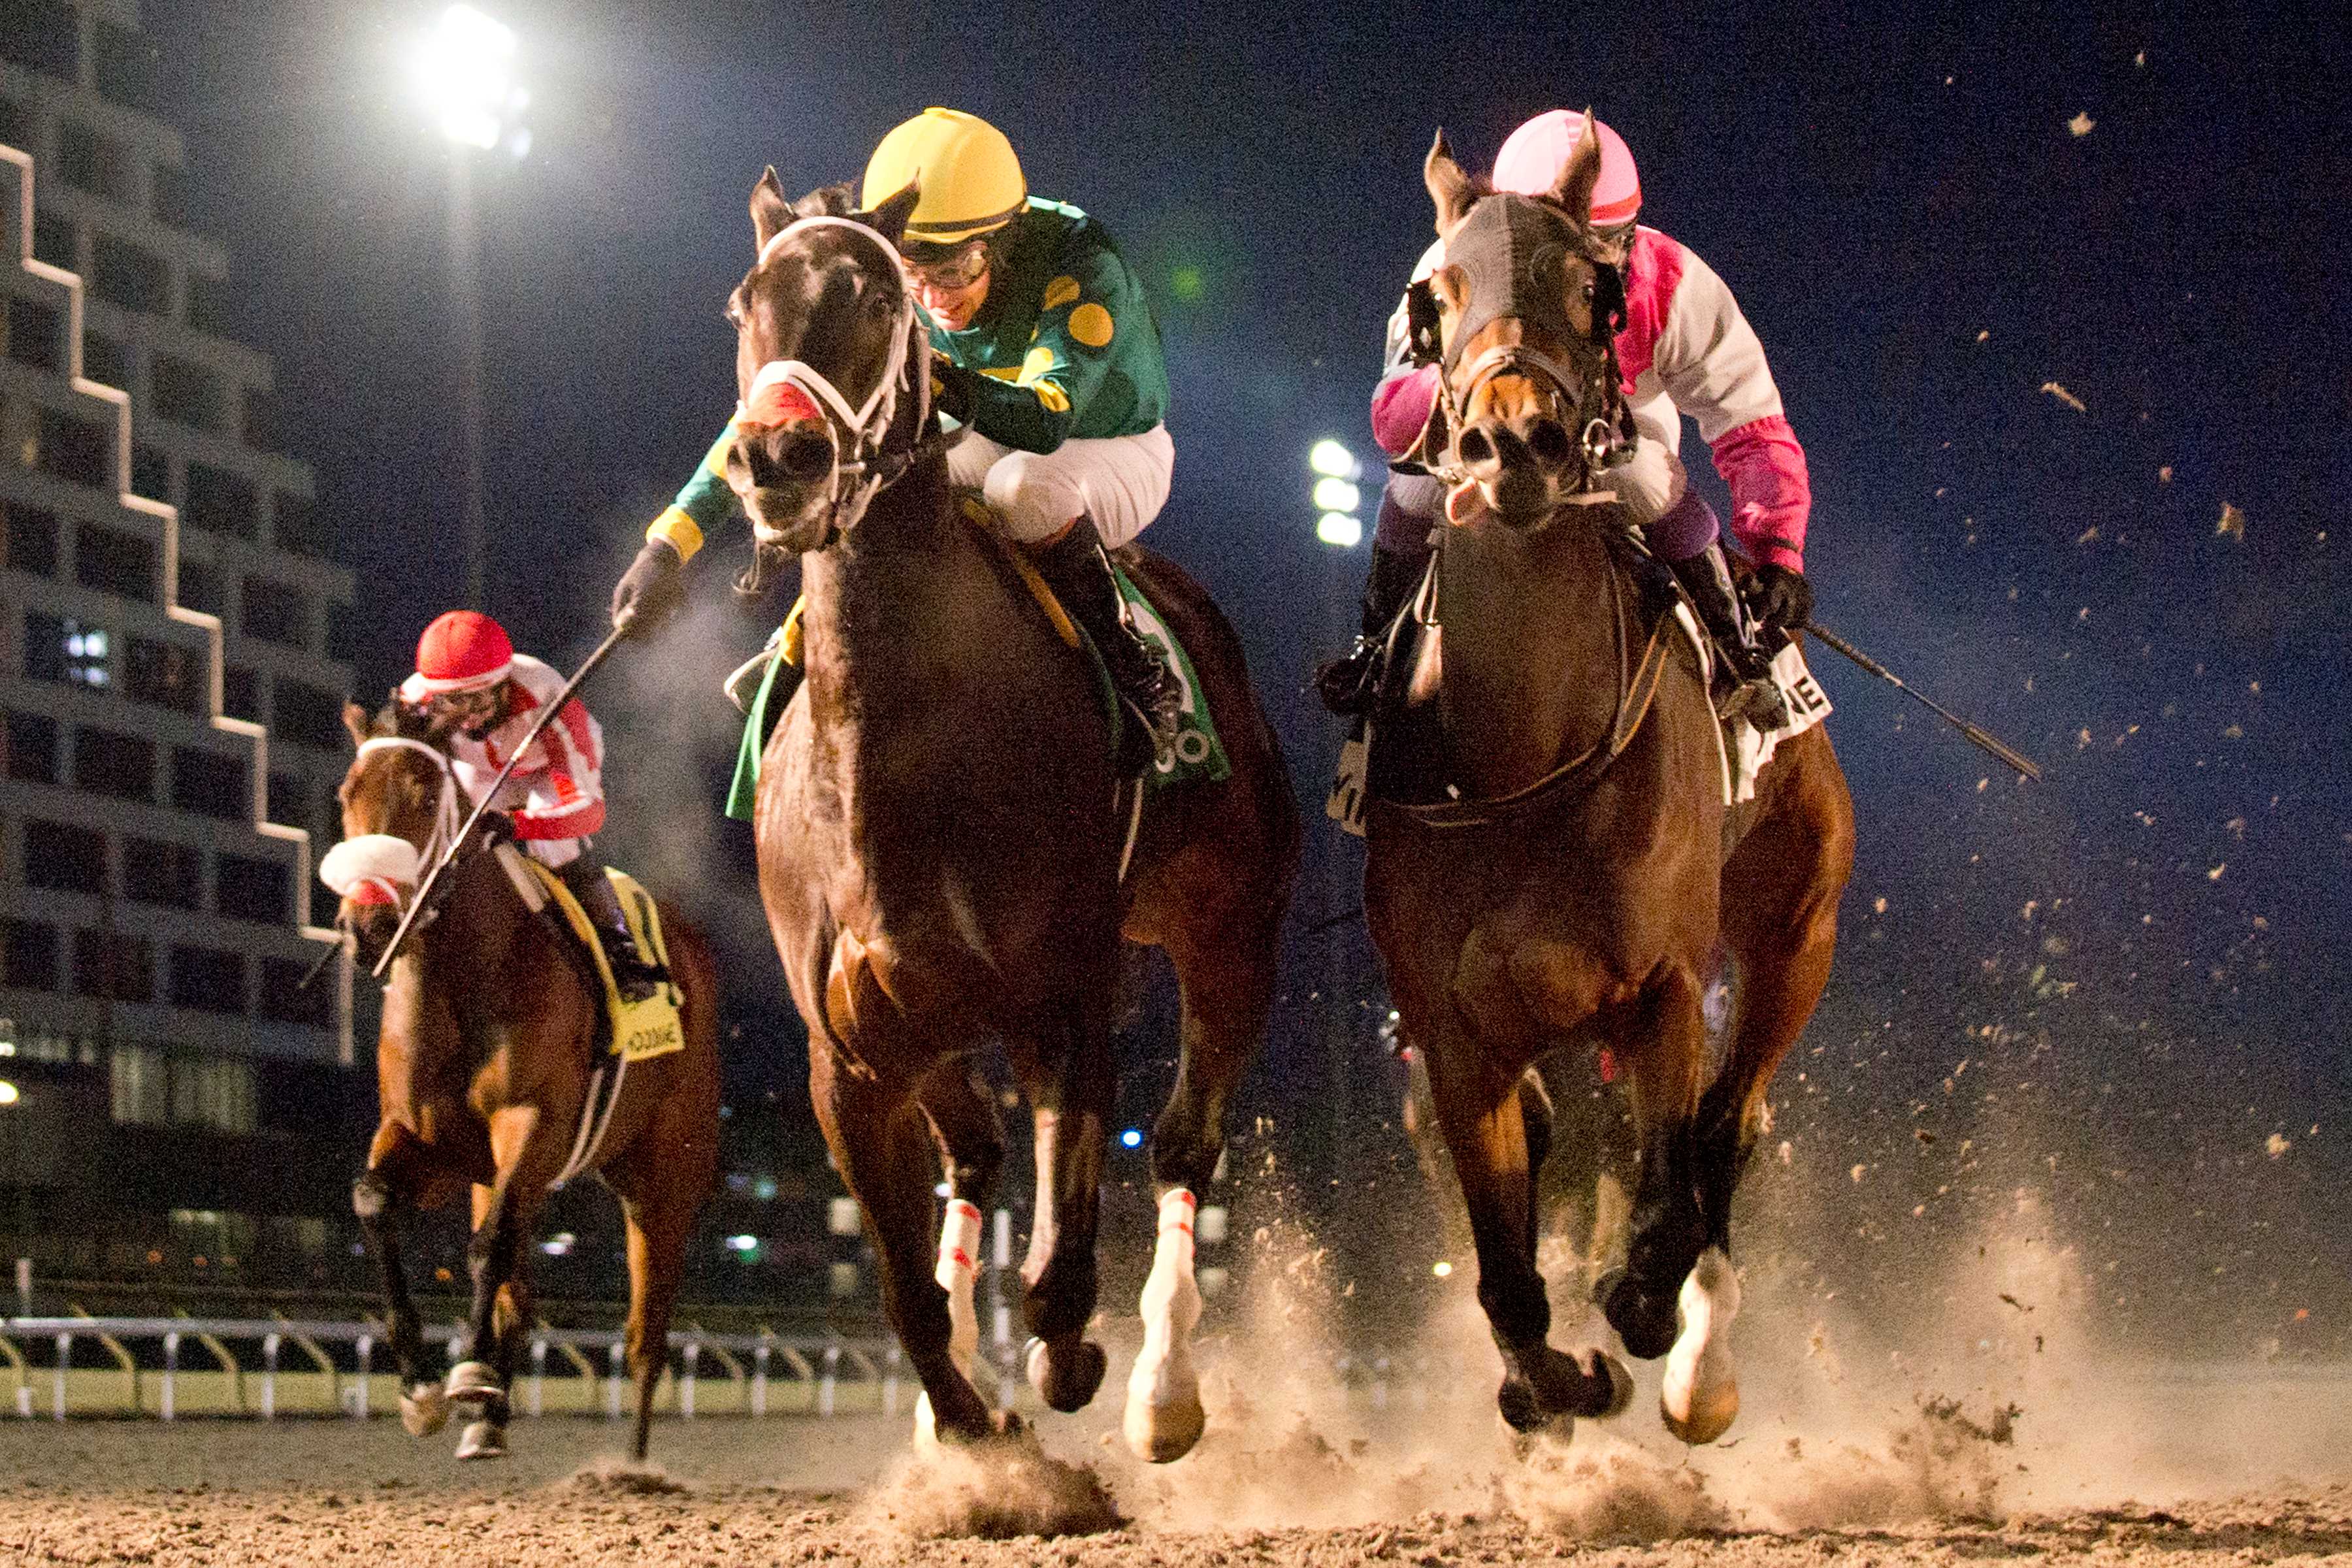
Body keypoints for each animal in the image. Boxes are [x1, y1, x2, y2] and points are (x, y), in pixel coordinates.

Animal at [327, 705, 719, 1467]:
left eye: (426, 797)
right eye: (346, 796)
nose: (371, 924)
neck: (462, 977)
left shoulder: (531, 1123)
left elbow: (488, 1248)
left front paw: (467, 1374)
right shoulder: (434, 1143)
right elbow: (373, 1201)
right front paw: (421, 1388)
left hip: (663, 1181)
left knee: (646, 1332)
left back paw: (632, 1467)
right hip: (514, 1175)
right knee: (521, 1292)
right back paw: (489, 1420)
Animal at [719, 177, 1307, 1467]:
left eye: (877, 297)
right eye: (746, 298)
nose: (779, 454)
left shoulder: (1067, 1009)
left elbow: (1056, 1277)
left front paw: (1070, 1364)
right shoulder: (850, 1060)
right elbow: (905, 1293)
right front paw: (970, 1432)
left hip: (1233, 940)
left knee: (1184, 1146)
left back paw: (1163, 1392)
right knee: (978, 1159)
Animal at [1364, 123, 1853, 1448]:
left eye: (1596, 290)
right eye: (1434, 295)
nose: (1513, 440)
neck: (1525, 754)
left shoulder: (1666, 989)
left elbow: (1667, 1201)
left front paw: (1641, 1319)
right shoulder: (1460, 1038)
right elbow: (1505, 1272)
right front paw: (1559, 1379)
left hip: (1798, 933)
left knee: (1729, 1124)